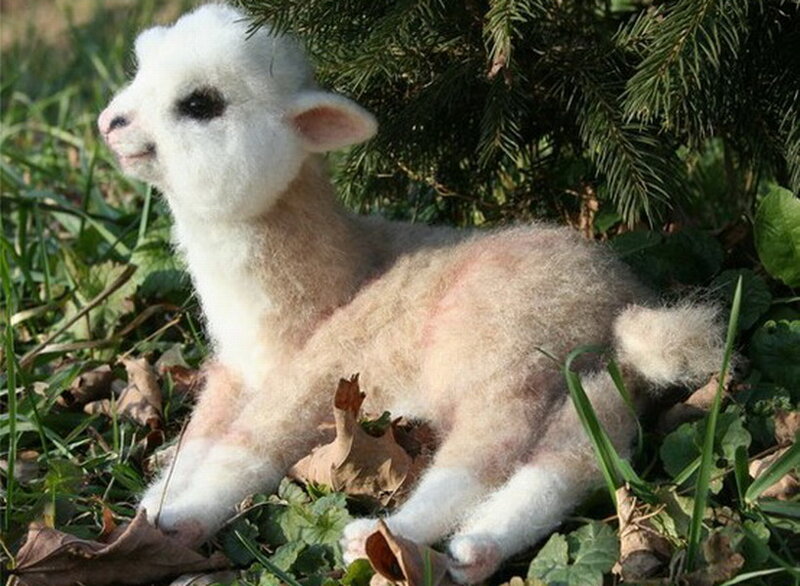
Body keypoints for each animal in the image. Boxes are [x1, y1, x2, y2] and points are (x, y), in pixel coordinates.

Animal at [98, 4, 725, 582]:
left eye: (200, 105)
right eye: (140, 66)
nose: (109, 122)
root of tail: (624, 305)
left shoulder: (319, 370)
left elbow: (247, 446)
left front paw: (180, 517)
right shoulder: (231, 375)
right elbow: (197, 438)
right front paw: (153, 503)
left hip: (503, 343)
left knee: (488, 451)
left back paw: (386, 536)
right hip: (590, 373)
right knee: (581, 453)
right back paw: (476, 550)